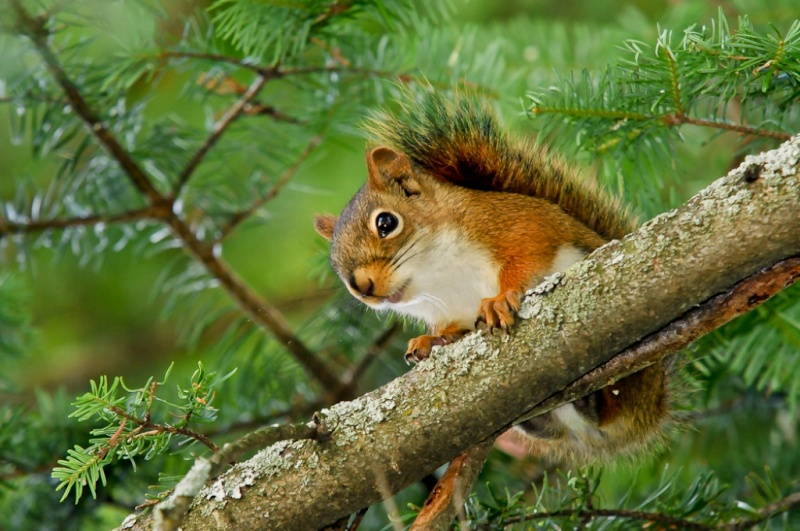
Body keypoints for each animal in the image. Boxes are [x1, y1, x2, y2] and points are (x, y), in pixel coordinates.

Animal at [316, 94, 672, 462]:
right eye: (334, 261)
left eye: (386, 223)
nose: (362, 289)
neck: (439, 275)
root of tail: (647, 412)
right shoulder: (448, 309)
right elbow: (453, 329)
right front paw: (430, 341)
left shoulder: (518, 224)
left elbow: (524, 257)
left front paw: (500, 300)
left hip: (633, 382)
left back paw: (595, 398)